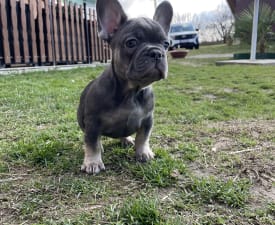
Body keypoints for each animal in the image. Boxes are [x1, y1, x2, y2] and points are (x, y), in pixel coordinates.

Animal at [76, 0, 174, 174]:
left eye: (166, 44)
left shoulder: (148, 119)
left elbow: (143, 138)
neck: (131, 91)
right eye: (131, 43)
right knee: (91, 139)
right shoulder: (93, 122)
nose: (157, 53)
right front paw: (92, 162)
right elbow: (92, 142)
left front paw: (143, 152)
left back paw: (127, 139)